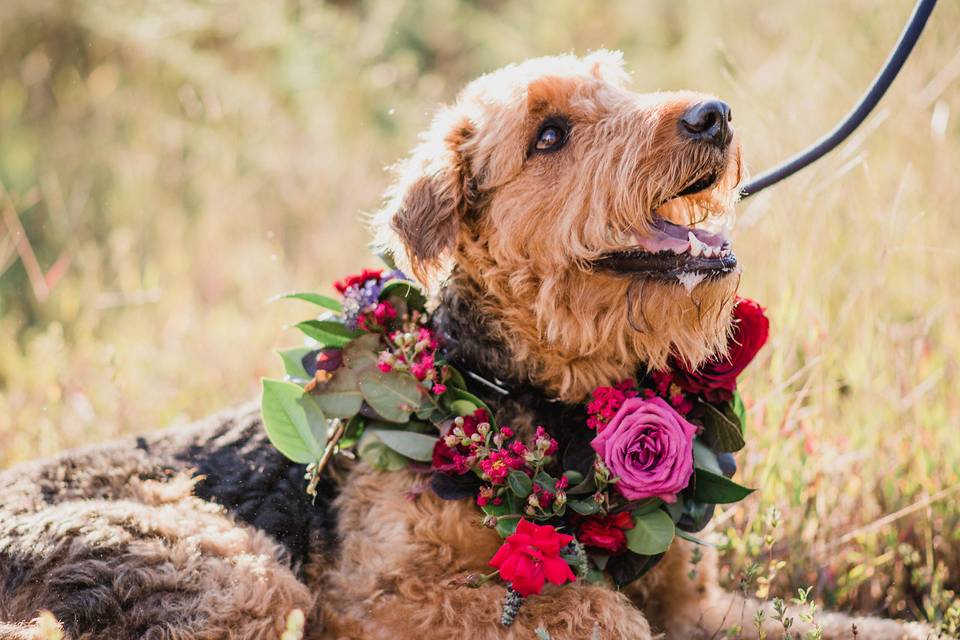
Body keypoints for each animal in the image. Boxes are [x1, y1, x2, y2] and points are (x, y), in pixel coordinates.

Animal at [0, 53, 932, 640]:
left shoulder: (695, 603)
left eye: (618, 89)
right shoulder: (375, 600)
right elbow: (591, 612)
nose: (713, 114)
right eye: (549, 134)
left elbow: (846, 624)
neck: (541, 402)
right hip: (243, 576)